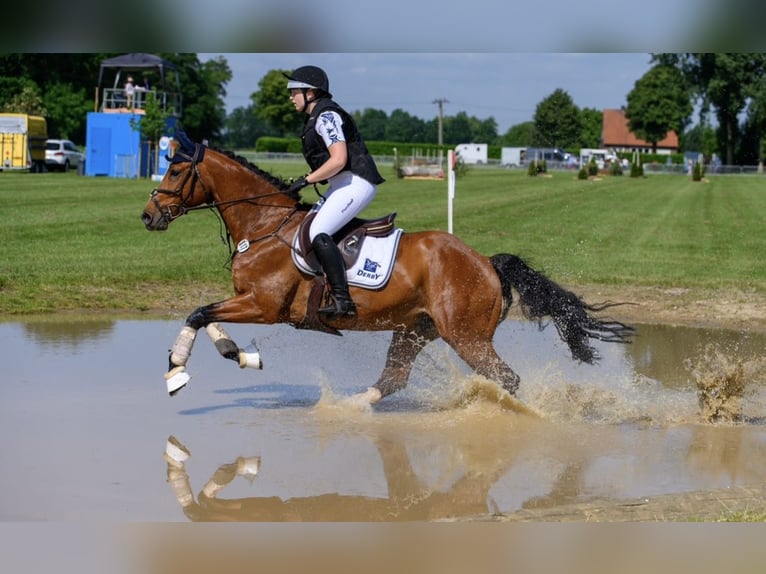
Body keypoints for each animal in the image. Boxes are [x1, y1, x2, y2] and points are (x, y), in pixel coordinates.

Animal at [141, 130, 632, 410]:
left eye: (176, 171)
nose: (148, 216)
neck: (264, 225)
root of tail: (485, 262)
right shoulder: (248, 302)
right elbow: (204, 313)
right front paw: (235, 353)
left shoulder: (263, 305)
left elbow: (199, 313)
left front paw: (177, 370)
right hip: (414, 329)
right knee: (394, 378)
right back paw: (348, 408)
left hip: (466, 336)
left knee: (506, 378)